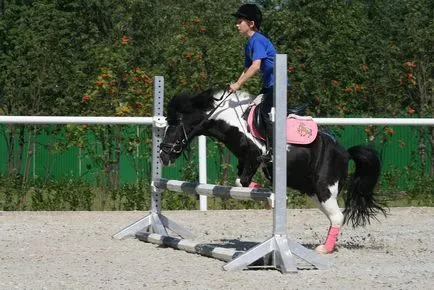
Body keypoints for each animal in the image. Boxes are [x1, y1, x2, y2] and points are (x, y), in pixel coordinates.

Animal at [159, 89, 386, 254]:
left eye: (174, 127)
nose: (163, 155)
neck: (229, 119)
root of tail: (345, 152)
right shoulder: (246, 160)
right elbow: (241, 181)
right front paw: (266, 193)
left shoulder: (254, 155)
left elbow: (241, 181)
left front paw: (267, 196)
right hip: (311, 191)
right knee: (333, 216)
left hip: (325, 188)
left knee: (338, 216)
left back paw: (324, 249)